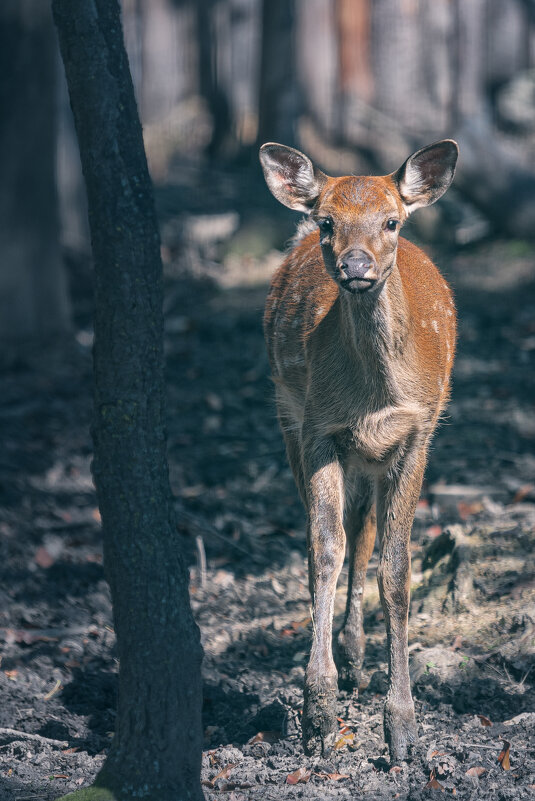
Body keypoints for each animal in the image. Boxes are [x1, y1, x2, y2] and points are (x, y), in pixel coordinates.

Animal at [260, 139, 460, 764]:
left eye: (391, 221)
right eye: (328, 221)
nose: (355, 266)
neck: (374, 398)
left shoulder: (418, 433)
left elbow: (396, 568)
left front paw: (403, 731)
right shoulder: (318, 428)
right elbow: (324, 548)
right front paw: (318, 714)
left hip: (374, 456)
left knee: (366, 530)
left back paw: (356, 655)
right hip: (289, 418)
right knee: (336, 534)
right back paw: (345, 660)